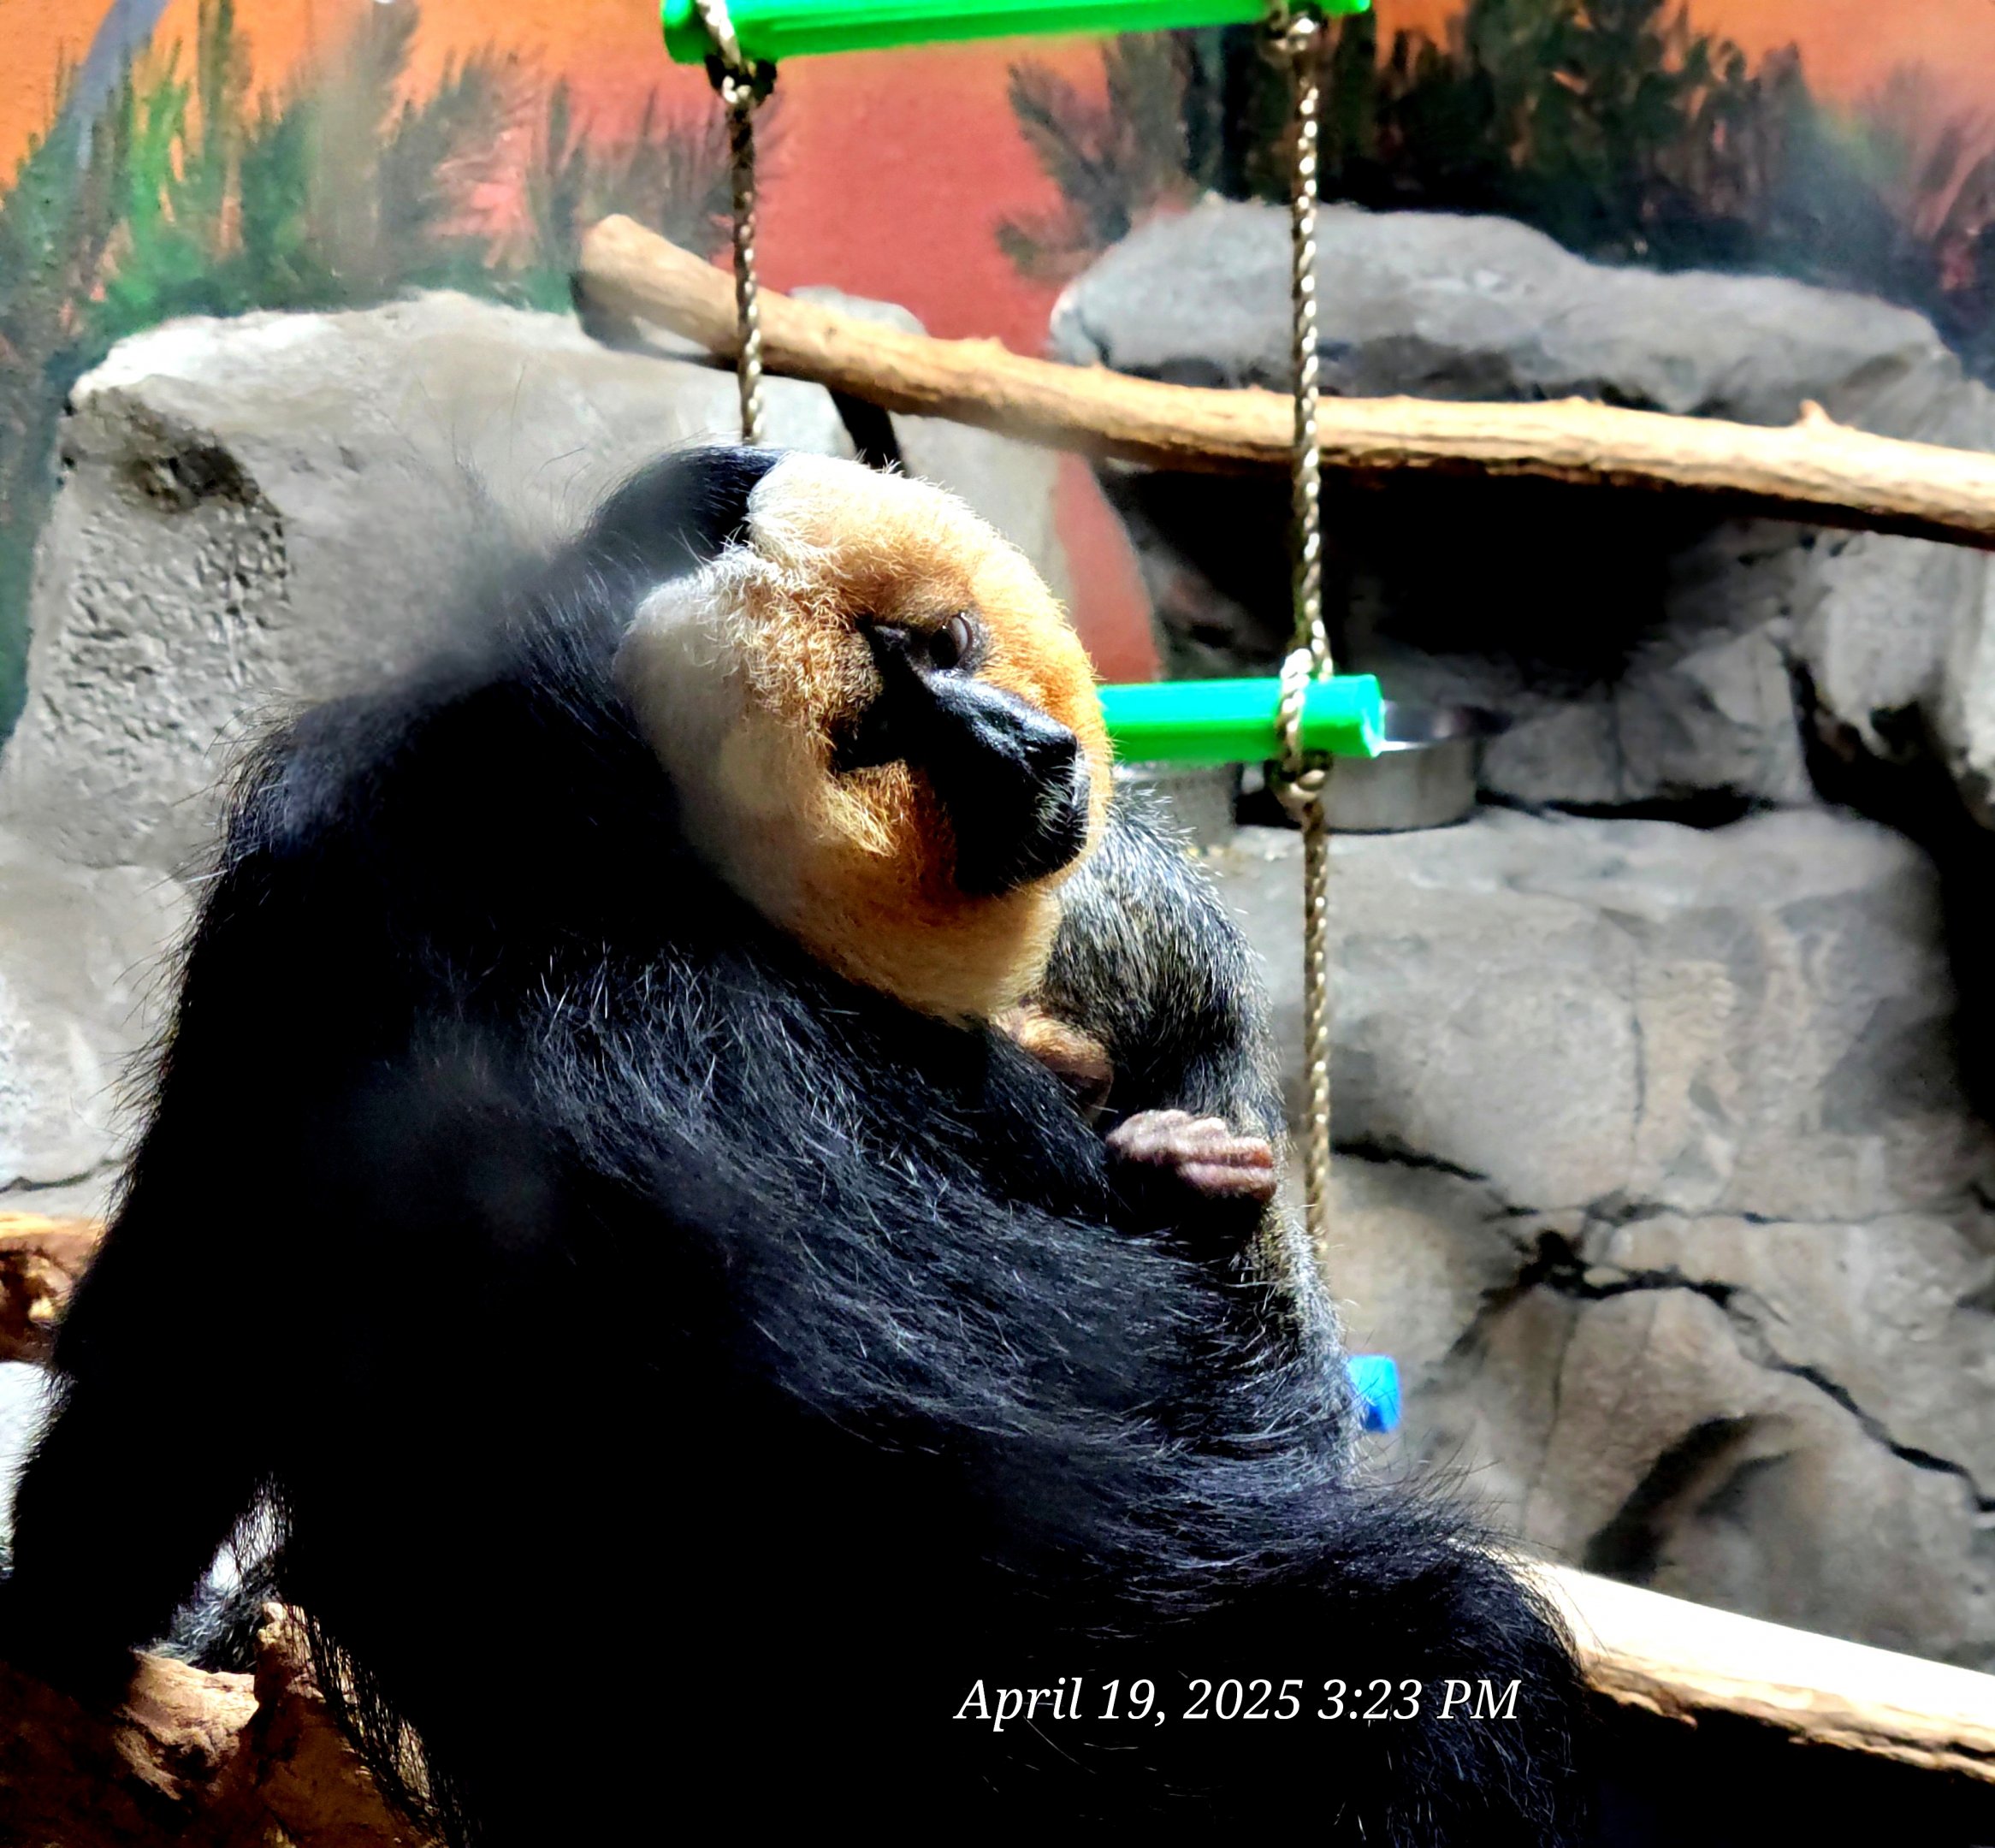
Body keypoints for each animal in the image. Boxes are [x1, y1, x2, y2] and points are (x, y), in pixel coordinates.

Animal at [1, 448, 1587, 1842]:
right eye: (879, 734)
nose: (1018, 750)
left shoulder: (308, 899)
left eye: (948, 645)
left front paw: (79, 1605)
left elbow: (186, 1332)